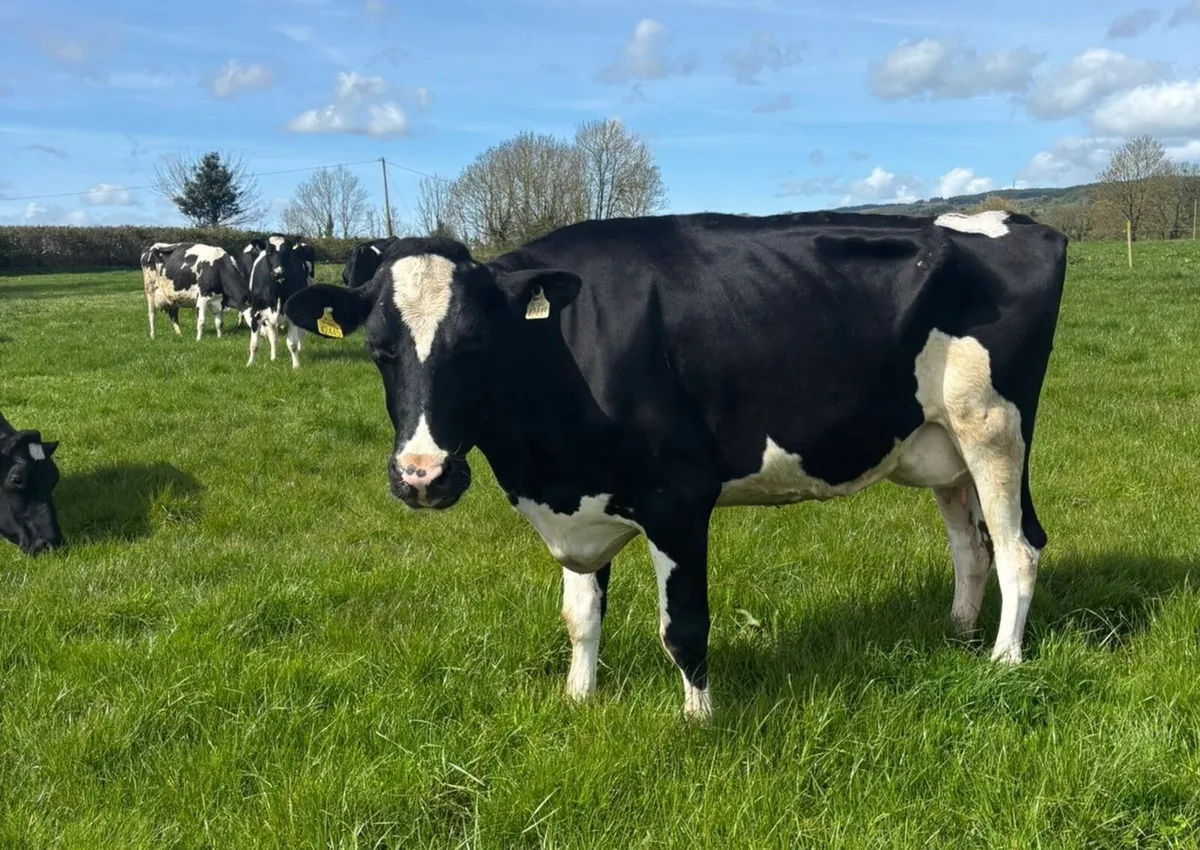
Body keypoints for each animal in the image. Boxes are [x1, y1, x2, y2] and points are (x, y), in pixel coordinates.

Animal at [247, 233, 310, 368]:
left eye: (287, 252)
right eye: (269, 252)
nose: (278, 272)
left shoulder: (293, 314)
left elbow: (292, 344)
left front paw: (296, 366)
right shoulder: (256, 313)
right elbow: (254, 344)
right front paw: (250, 363)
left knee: (299, 333)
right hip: (268, 320)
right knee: (273, 338)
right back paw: (273, 357)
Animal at [282, 209, 1068, 720]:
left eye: (475, 344)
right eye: (379, 349)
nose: (422, 476)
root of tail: (1018, 221)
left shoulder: (678, 499)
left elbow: (683, 625)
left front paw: (699, 721)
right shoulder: (579, 501)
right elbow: (579, 617)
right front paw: (578, 702)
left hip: (994, 426)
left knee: (1018, 548)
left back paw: (1003, 661)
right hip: (942, 444)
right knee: (970, 545)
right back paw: (959, 635)